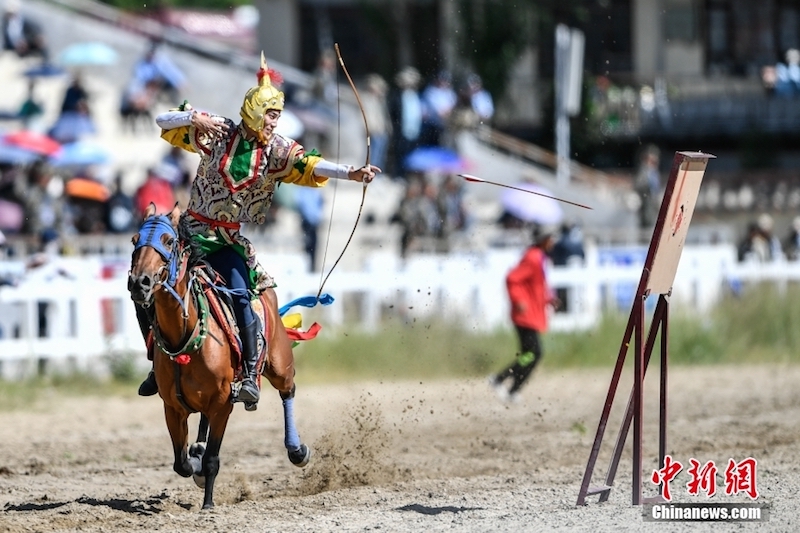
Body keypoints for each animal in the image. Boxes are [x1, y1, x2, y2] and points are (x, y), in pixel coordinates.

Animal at [127, 204, 310, 508]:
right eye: (134, 241)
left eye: (168, 241)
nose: (139, 282)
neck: (184, 337)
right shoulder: (172, 407)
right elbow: (180, 463)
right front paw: (195, 464)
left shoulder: (223, 404)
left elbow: (212, 459)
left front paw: (208, 503)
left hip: (279, 364)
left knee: (288, 390)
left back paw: (297, 450)